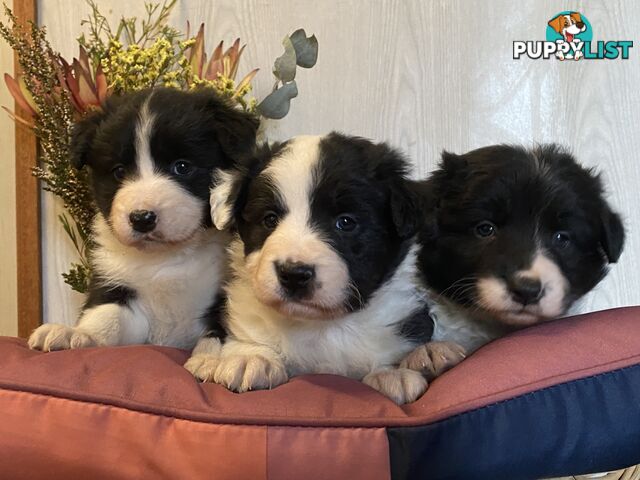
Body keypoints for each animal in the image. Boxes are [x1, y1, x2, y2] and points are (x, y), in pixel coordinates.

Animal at [27, 88, 258, 350]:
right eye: (119, 171)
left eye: (182, 166)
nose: (142, 218)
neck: (166, 258)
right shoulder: (116, 283)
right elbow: (106, 316)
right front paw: (75, 333)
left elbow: (215, 336)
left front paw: (209, 357)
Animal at [184, 133, 436, 404]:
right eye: (269, 219)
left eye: (346, 222)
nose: (293, 274)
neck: (319, 326)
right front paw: (252, 357)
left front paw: (391, 374)